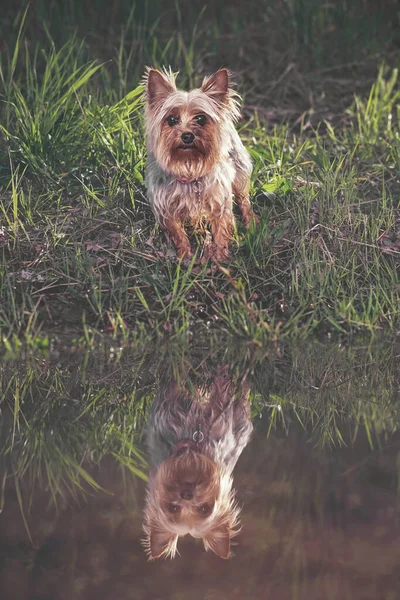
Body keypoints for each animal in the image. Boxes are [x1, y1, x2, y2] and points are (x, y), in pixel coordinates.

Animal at [142, 368, 252, 560]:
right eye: (173, 508)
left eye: (204, 509)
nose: (186, 494)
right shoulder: (164, 413)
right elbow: (173, 388)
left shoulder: (223, 424)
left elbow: (222, 401)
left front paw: (221, 380)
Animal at [143, 67, 256, 260]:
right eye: (171, 120)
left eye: (201, 119)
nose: (187, 135)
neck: (189, 166)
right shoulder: (164, 206)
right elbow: (176, 231)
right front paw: (184, 254)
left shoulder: (219, 200)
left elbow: (221, 228)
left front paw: (220, 255)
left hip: (240, 169)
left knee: (243, 199)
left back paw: (251, 221)